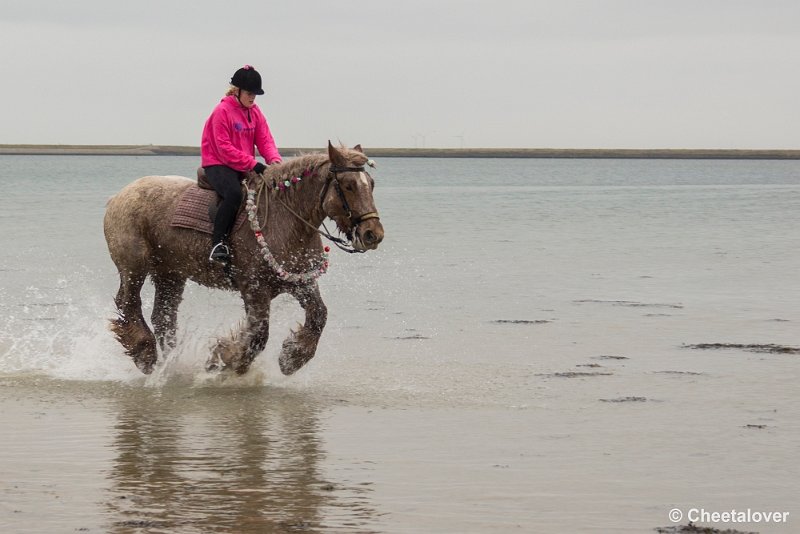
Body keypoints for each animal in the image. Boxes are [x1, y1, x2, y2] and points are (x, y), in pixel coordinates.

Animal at [103, 142, 384, 376]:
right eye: (348, 185)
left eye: (370, 184)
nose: (373, 234)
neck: (286, 219)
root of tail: (117, 197)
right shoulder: (254, 288)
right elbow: (258, 334)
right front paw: (223, 360)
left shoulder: (301, 283)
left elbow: (318, 316)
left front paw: (291, 357)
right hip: (134, 267)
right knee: (129, 303)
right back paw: (144, 353)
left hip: (170, 274)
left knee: (163, 318)